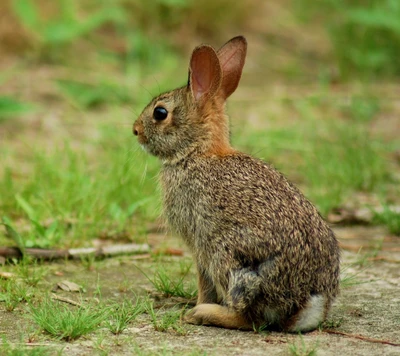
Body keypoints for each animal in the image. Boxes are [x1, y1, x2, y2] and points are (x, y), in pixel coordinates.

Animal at [133, 35, 340, 330]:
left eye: (160, 113)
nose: (135, 130)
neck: (197, 152)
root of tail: (308, 302)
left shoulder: (199, 243)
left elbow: (203, 281)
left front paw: (195, 305)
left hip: (231, 258)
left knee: (249, 317)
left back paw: (203, 313)